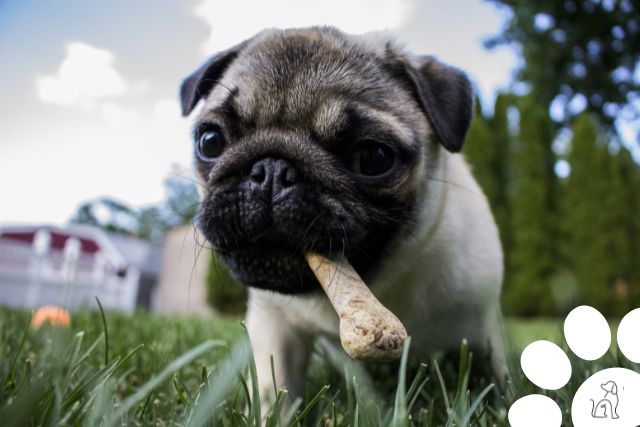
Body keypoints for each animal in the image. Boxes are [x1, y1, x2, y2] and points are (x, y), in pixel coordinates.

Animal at [179, 25, 504, 402]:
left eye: (374, 157)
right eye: (210, 141)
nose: (272, 170)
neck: (379, 283)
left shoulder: (482, 328)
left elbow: (495, 381)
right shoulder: (275, 327)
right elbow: (273, 390)